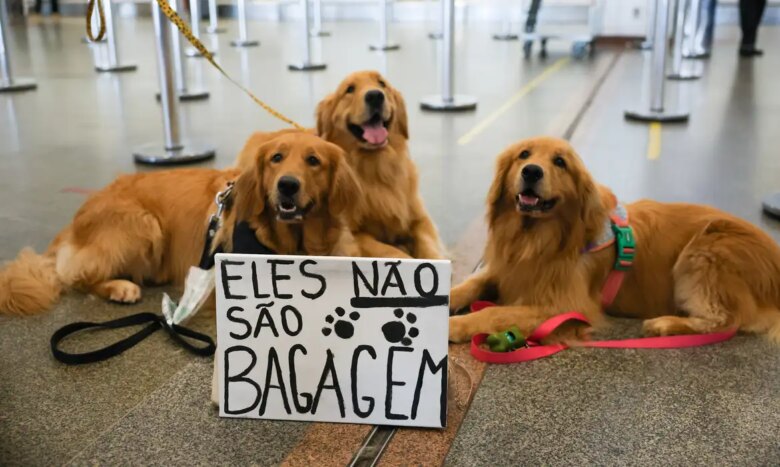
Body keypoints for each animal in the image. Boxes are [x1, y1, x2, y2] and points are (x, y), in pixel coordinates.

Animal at [0, 132, 360, 316]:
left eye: (313, 160)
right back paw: (120, 287)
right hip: (142, 224)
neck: (293, 243)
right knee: (77, 277)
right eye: (277, 158)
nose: (287, 185)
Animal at [444, 137, 780, 346]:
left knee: (727, 319)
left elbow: (494, 312)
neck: (534, 238)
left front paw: (453, 326)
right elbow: (470, 284)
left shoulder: (566, 306)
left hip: (705, 249)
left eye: (560, 162)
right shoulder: (505, 270)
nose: (531, 171)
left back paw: (665, 324)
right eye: (523, 154)